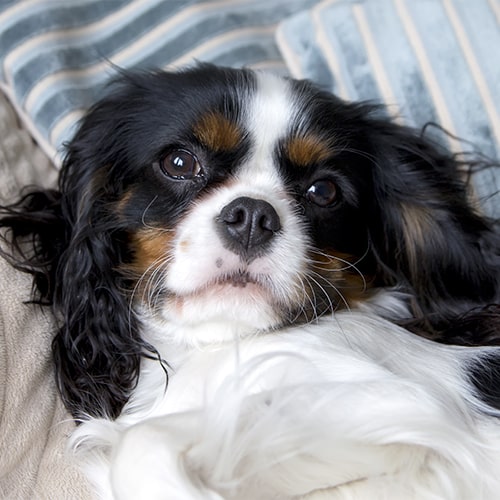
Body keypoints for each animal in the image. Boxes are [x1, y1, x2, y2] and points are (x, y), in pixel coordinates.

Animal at [0, 64, 500, 498]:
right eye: (179, 162)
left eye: (324, 191)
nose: (253, 217)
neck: (216, 343)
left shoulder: (399, 400)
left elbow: (141, 444)